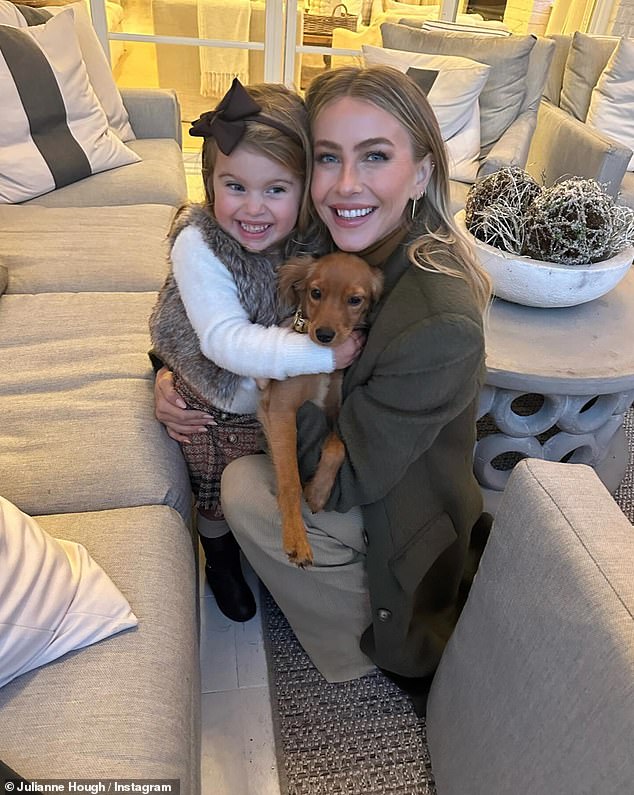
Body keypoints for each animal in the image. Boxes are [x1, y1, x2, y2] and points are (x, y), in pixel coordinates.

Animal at [256, 252, 380, 568]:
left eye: (355, 300)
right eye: (316, 293)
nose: (324, 335)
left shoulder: (333, 411)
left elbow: (338, 447)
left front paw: (317, 493)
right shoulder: (282, 409)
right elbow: (289, 481)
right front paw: (295, 538)